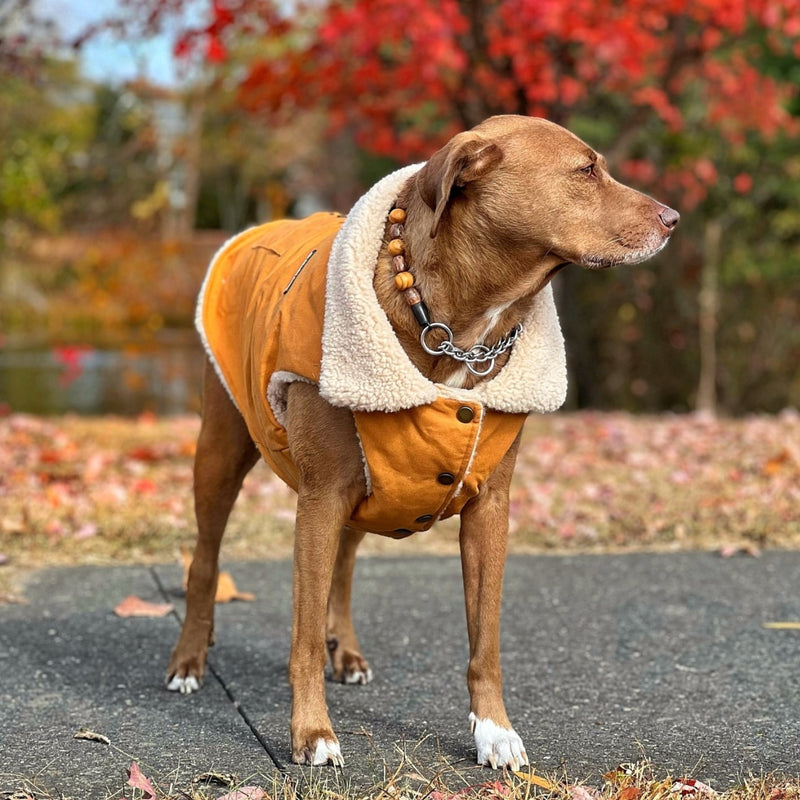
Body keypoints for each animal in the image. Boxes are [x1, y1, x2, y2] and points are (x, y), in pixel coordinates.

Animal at [166, 114, 680, 768]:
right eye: (587, 170)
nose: (673, 218)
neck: (460, 323)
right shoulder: (321, 494)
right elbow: (301, 632)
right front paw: (312, 732)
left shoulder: (489, 506)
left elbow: (485, 638)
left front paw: (495, 731)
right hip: (223, 450)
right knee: (206, 559)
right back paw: (189, 659)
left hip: (365, 488)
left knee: (344, 564)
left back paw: (346, 650)